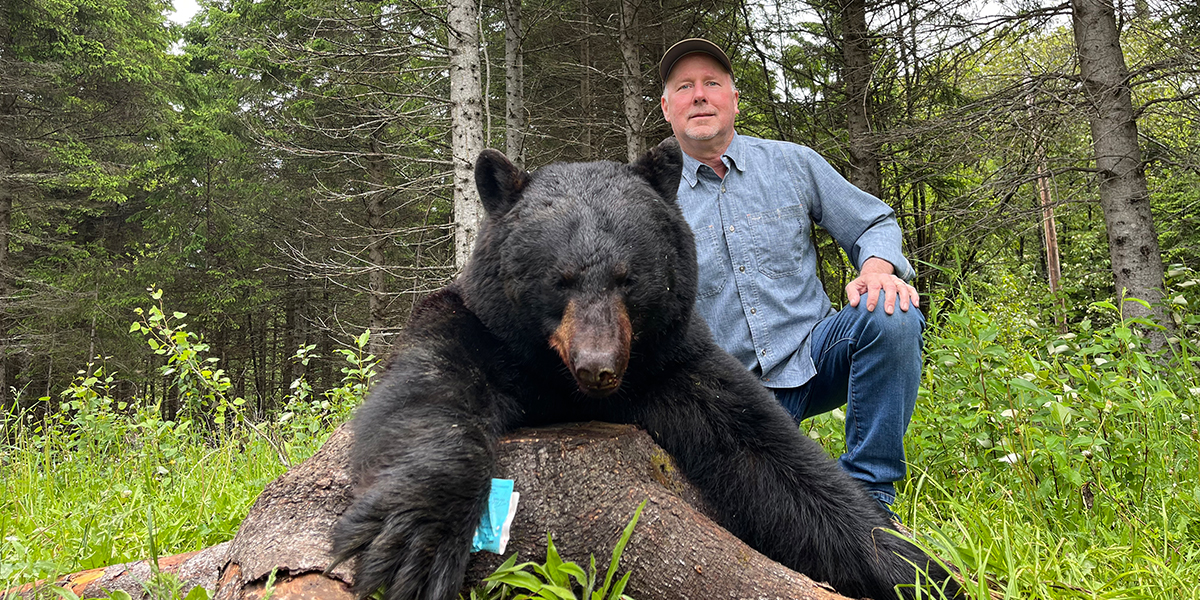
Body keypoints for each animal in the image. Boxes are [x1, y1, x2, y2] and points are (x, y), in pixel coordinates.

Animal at [328, 139, 963, 600]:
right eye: (558, 280)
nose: (599, 368)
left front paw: (919, 570)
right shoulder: (480, 329)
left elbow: (774, 458)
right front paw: (416, 543)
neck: (566, 387)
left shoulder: (674, 362)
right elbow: (428, 391)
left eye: (628, 278)